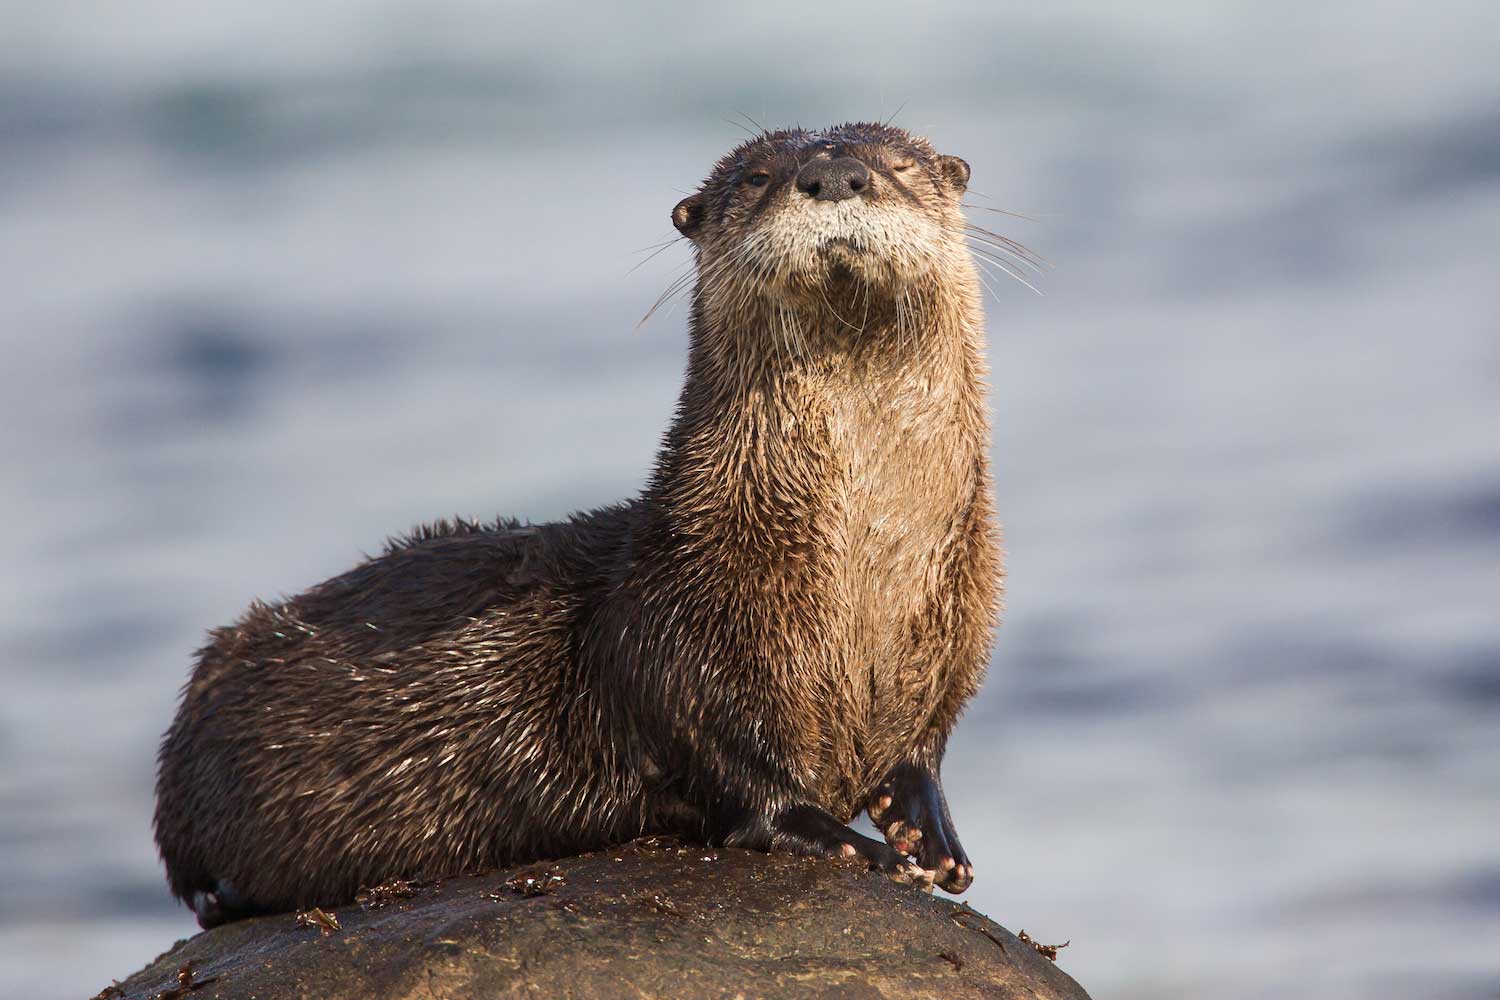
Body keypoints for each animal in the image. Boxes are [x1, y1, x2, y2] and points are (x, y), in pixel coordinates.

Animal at [152, 122, 1002, 929]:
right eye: (757, 177)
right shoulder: (686, 639)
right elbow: (741, 778)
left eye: (899, 164)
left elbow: (923, 746)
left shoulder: (956, 627)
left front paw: (932, 837)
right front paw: (854, 845)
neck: (863, 574)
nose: (833, 174)